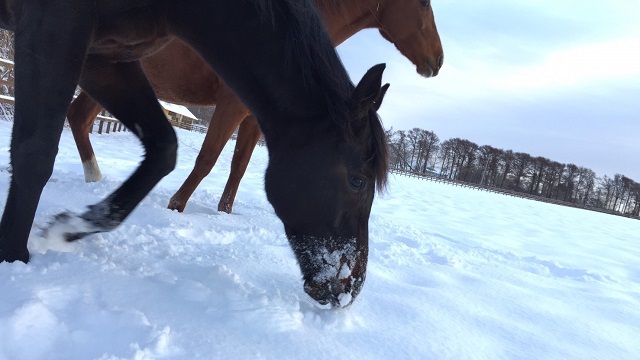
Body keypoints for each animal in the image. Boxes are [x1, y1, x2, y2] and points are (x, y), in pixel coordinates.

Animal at [0, 0, 390, 310]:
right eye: (358, 181)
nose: (351, 288)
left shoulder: (105, 55)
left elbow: (164, 150)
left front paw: (69, 227)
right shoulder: (55, 23)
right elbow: (35, 152)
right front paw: (13, 259)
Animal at [67, 0, 442, 214]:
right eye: (424, 3)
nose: (437, 60)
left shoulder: (254, 120)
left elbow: (239, 166)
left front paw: (224, 213)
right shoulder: (232, 106)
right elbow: (208, 158)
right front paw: (176, 206)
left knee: (79, 118)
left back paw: (95, 181)